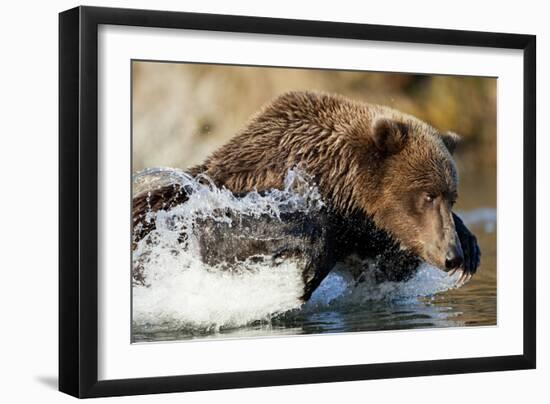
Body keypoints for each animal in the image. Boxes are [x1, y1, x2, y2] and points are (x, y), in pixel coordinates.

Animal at [133, 90, 478, 300]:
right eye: (427, 195)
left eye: (451, 196)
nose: (452, 256)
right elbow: (234, 232)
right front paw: (299, 273)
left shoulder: (362, 228)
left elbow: (388, 262)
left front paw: (469, 246)